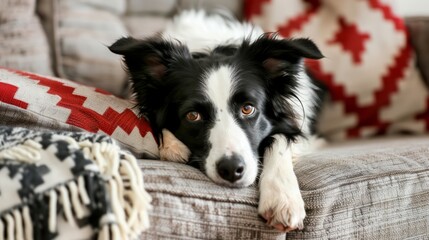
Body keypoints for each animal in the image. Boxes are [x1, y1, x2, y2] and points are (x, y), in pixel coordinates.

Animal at [108, 10, 322, 232]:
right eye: (193, 115)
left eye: (248, 108)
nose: (231, 170)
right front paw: (173, 146)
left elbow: (280, 141)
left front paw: (282, 197)